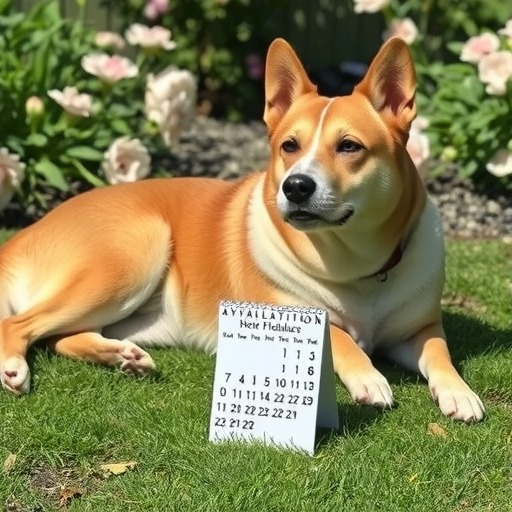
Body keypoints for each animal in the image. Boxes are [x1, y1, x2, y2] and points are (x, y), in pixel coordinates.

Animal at [0, 38, 484, 422]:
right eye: (289, 146)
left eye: (349, 146)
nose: (296, 186)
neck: (357, 263)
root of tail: (19, 239)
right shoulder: (292, 317)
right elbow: (343, 337)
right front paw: (369, 376)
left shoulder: (418, 330)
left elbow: (439, 352)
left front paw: (458, 391)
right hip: (134, 255)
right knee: (19, 325)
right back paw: (16, 366)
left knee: (59, 338)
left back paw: (119, 355)